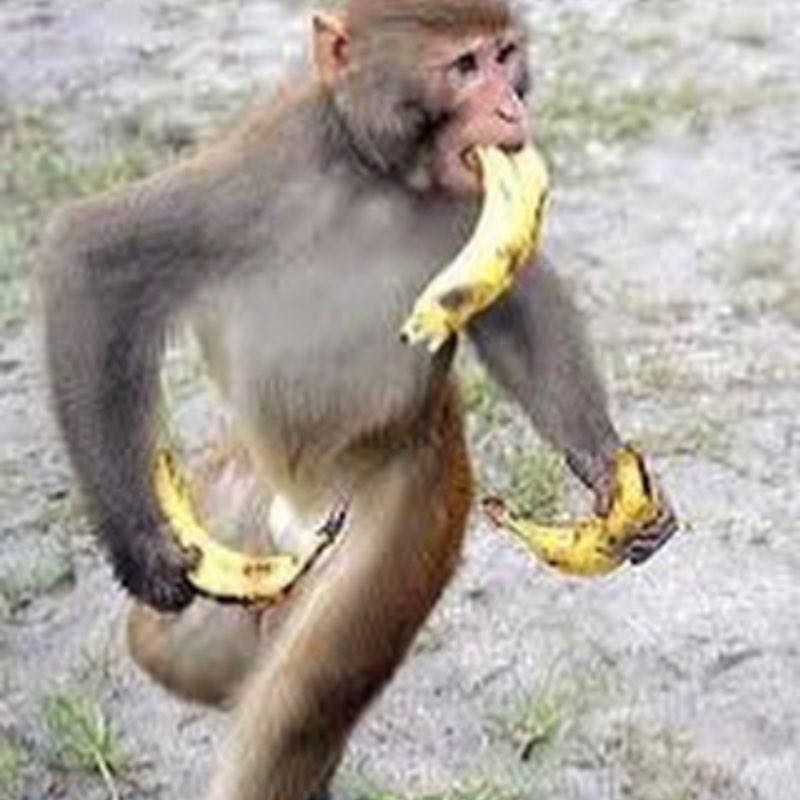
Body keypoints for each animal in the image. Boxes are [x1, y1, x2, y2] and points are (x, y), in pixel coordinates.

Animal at [38, 1, 678, 798]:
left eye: (505, 56)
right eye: (465, 66)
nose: (511, 107)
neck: (373, 176)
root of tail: (294, 512)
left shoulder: (481, 211)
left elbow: (517, 311)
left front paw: (605, 471)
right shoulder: (262, 164)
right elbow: (96, 254)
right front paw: (140, 545)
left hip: (406, 495)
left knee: (301, 699)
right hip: (242, 494)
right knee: (174, 649)